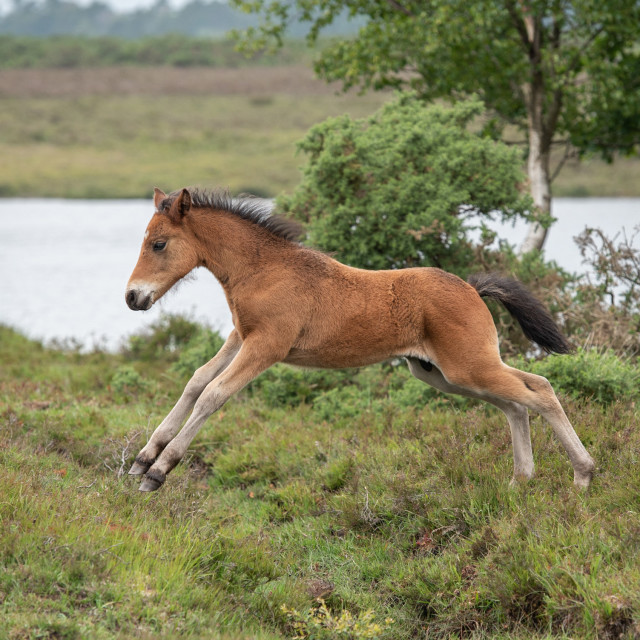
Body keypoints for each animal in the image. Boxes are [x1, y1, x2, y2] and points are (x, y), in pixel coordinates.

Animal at [124, 188, 596, 492]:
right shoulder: (241, 336)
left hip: (467, 366)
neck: (263, 269)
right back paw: (520, 480)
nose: (132, 297)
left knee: (541, 391)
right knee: (517, 401)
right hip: (442, 373)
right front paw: (143, 458)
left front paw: (159, 471)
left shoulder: (267, 346)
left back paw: (583, 475)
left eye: (159, 244)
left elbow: (214, 394)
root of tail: (471, 288)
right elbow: (196, 381)